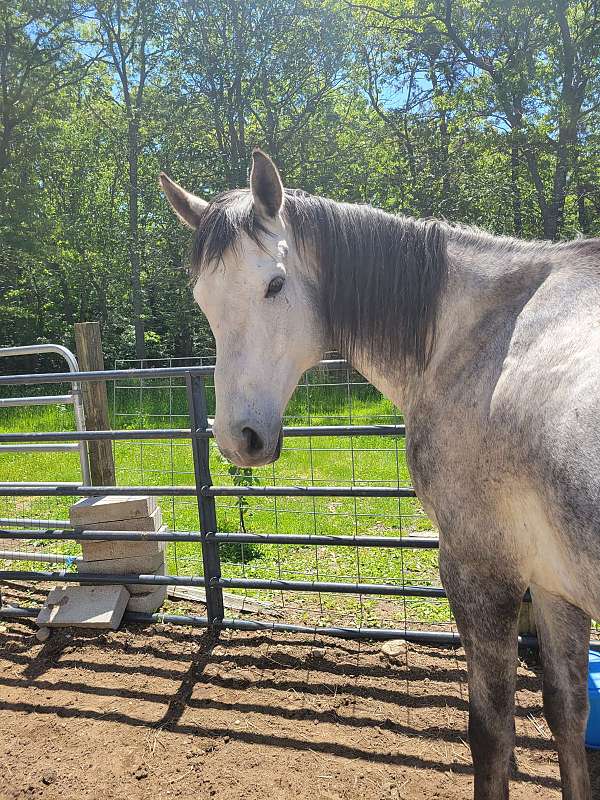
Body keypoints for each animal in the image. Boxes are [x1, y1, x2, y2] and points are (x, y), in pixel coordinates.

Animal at [160, 149, 600, 799]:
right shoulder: (552, 582)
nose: (239, 438)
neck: (477, 332)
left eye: (274, 283)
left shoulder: (482, 574)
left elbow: (491, 733)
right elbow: (566, 716)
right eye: (202, 298)